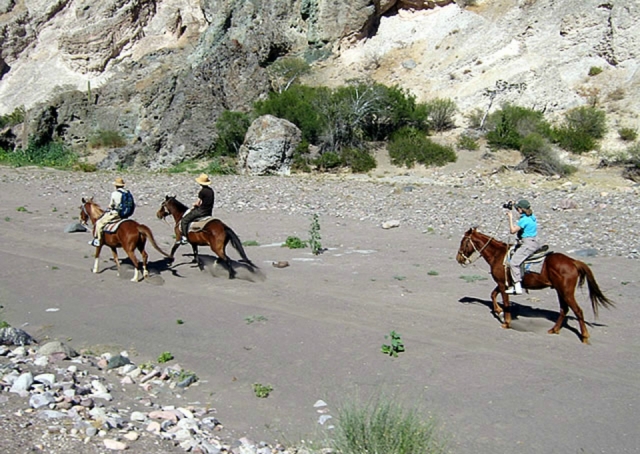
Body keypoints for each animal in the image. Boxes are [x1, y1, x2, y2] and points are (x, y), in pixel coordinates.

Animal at [456, 227, 616, 344]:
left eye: (463, 241)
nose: (458, 258)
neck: (498, 254)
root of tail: (573, 262)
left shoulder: (502, 284)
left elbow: (505, 302)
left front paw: (506, 322)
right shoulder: (504, 283)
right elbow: (493, 295)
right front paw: (498, 310)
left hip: (566, 292)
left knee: (578, 311)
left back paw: (584, 337)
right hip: (560, 291)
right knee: (564, 309)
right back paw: (554, 329)